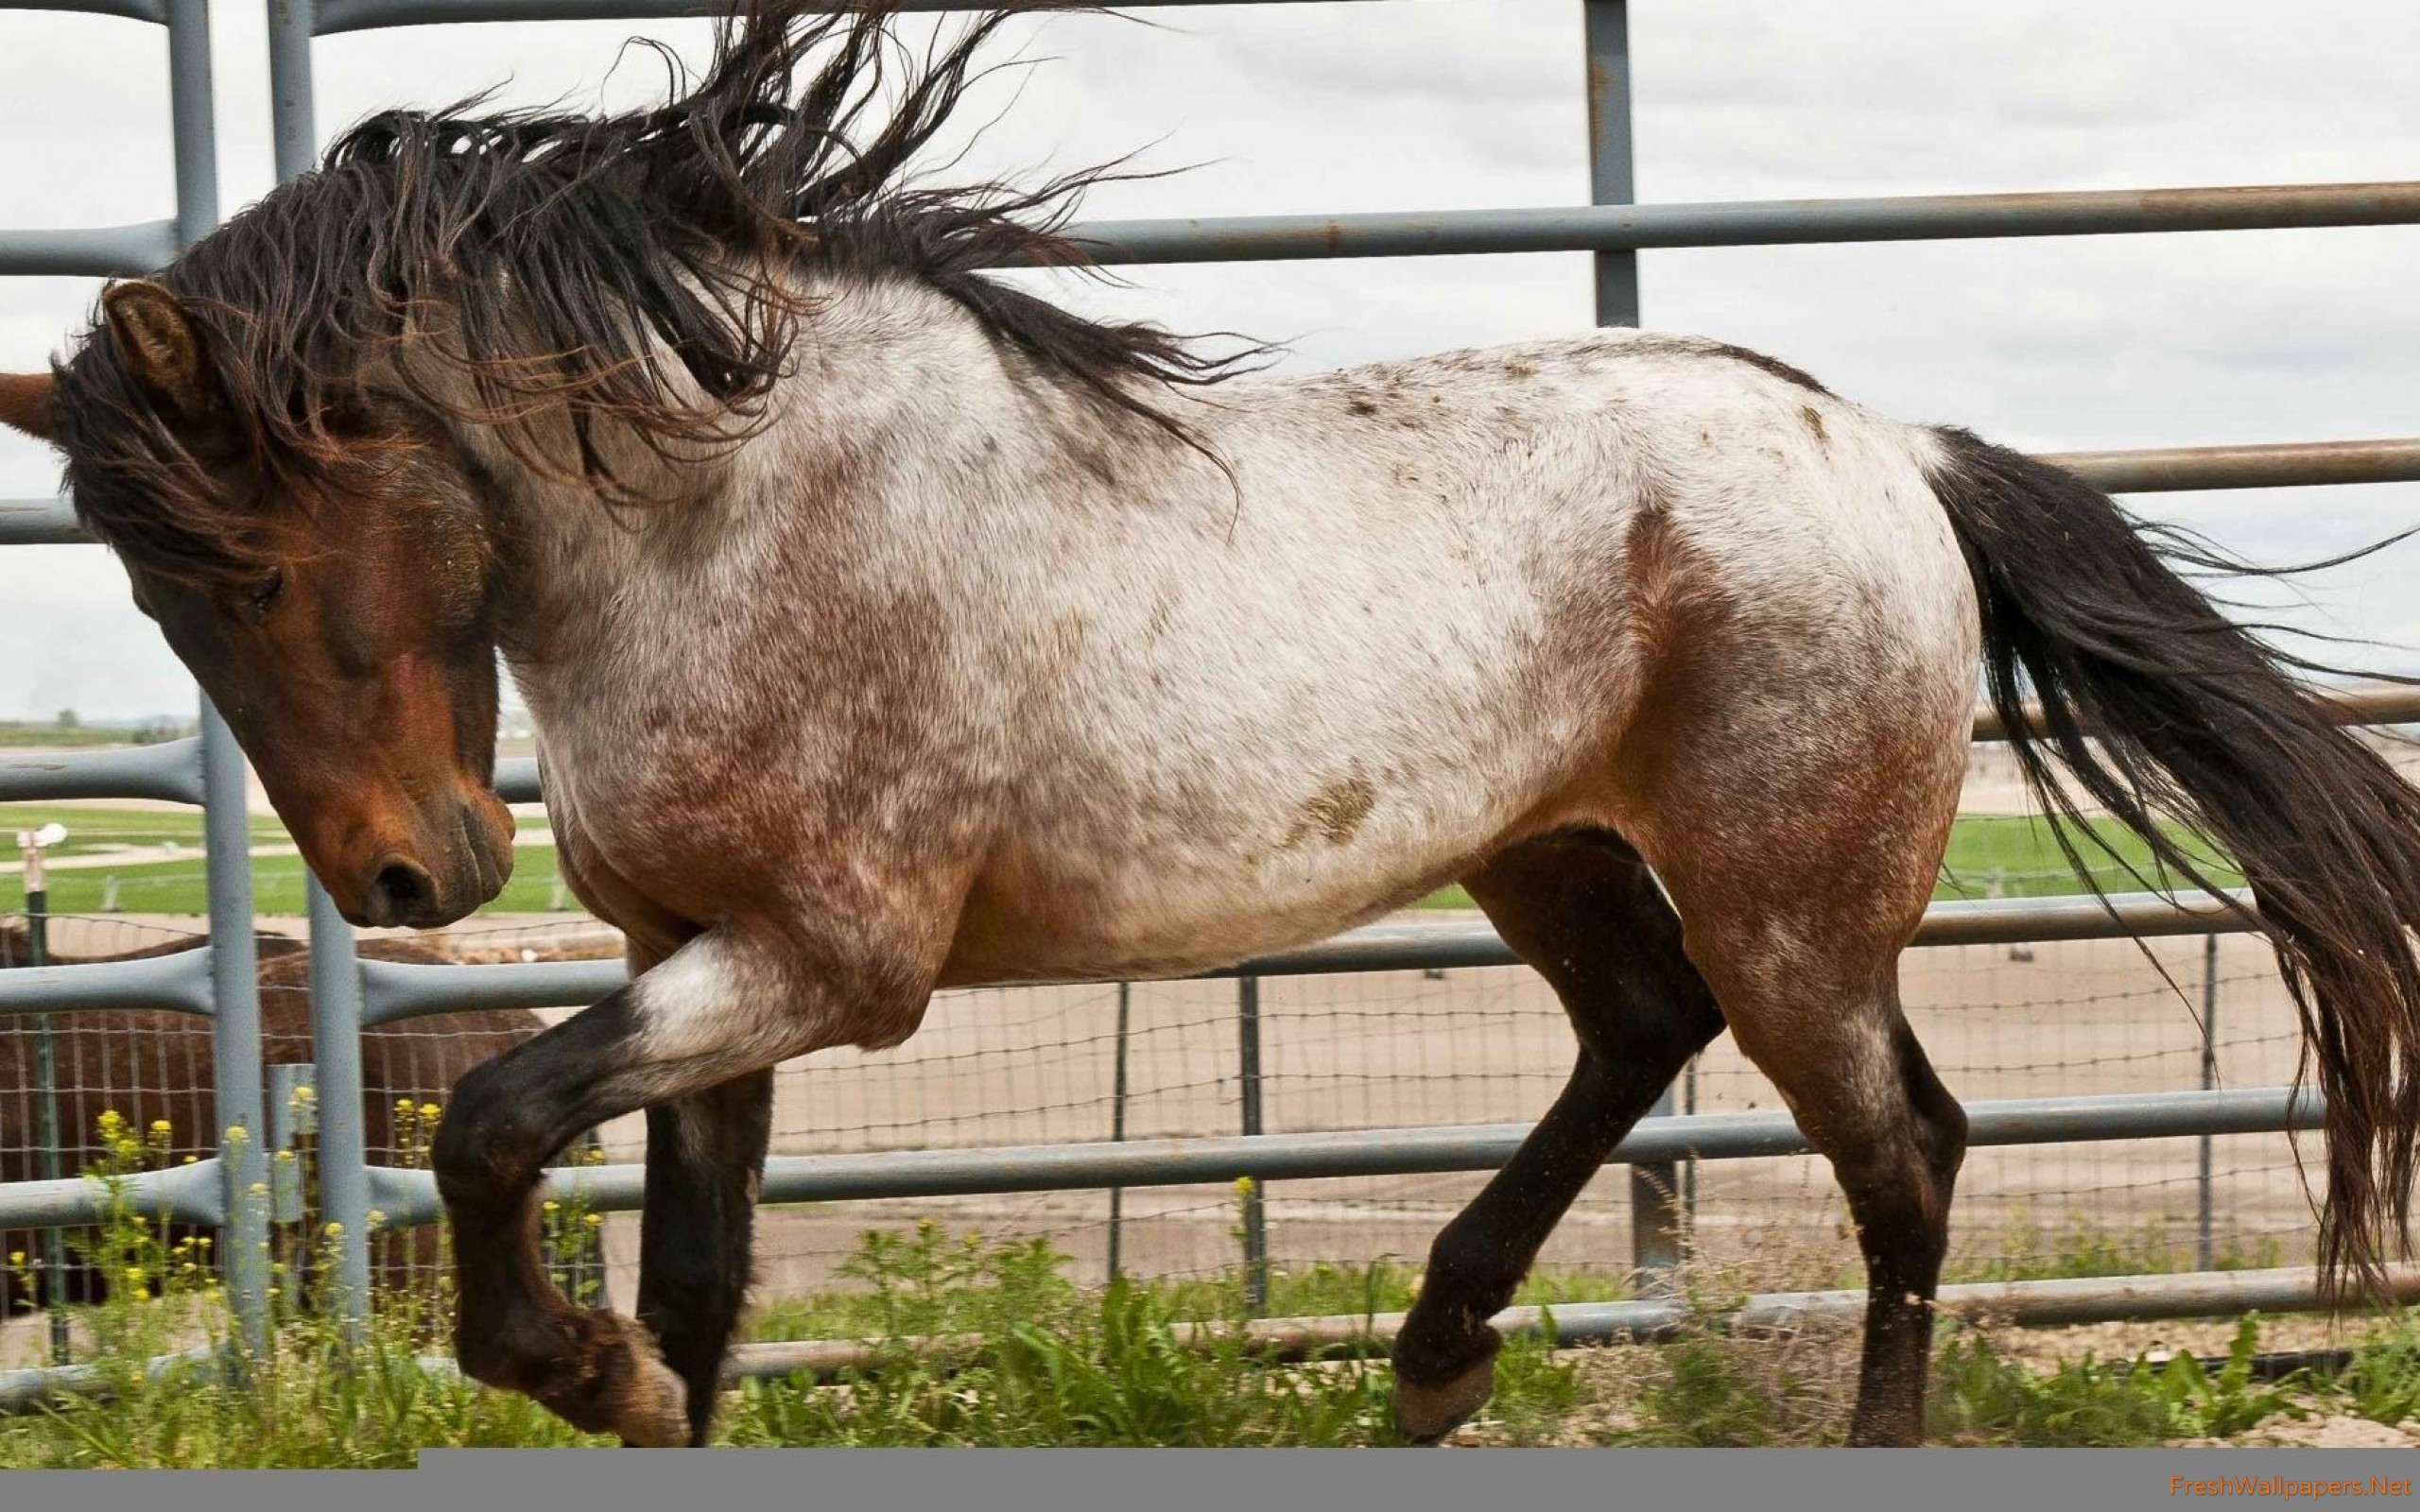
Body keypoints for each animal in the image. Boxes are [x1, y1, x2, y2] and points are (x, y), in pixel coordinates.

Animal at [5, 0, 2420, 1448]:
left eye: (239, 560)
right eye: (142, 587)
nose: (407, 873)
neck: (737, 517)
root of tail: (1888, 453)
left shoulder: (824, 963)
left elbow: (500, 1124)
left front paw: (560, 1362)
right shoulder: (684, 957)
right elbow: (691, 1283)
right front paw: (629, 1372)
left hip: (1793, 912)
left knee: (1902, 1147)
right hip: (1544, 845)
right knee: (1641, 1031)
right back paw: (1431, 1351)